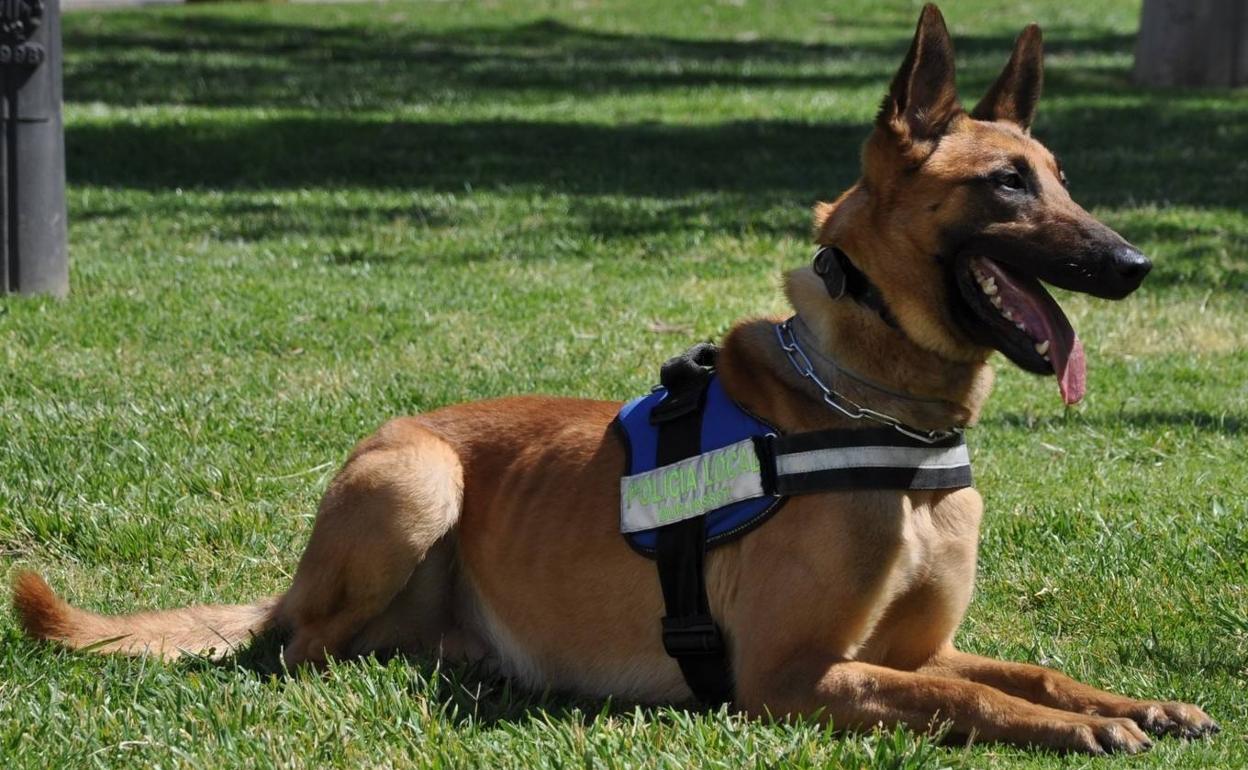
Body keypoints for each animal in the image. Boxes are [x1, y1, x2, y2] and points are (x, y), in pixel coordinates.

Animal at [12, 3, 1218, 753]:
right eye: (1008, 184)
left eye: (1060, 178)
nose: (1134, 264)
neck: (877, 410)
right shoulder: (791, 676)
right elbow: (959, 696)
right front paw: (1079, 729)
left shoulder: (916, 643)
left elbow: (1020, 670)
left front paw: (1132, 701)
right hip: (414, 482)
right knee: (307, 651)